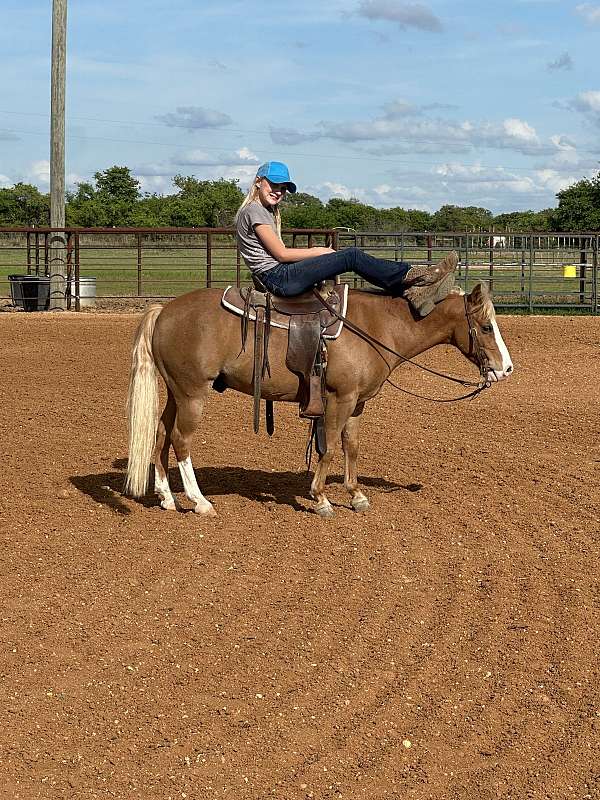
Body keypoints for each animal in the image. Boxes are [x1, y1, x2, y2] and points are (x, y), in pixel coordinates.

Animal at [124, 282, 513, 518]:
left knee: (161, 434)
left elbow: (351, 446)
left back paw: (167, 497)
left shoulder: (358, 403)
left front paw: (356, 495)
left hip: (176, 392)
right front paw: (322, 498)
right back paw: (200, 502)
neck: (377, 327)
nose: (506, 368)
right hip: (193, 393)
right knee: (180, 440)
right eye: (486, 327)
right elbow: (328, 448)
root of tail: (163, 312)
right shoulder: (339, 399)